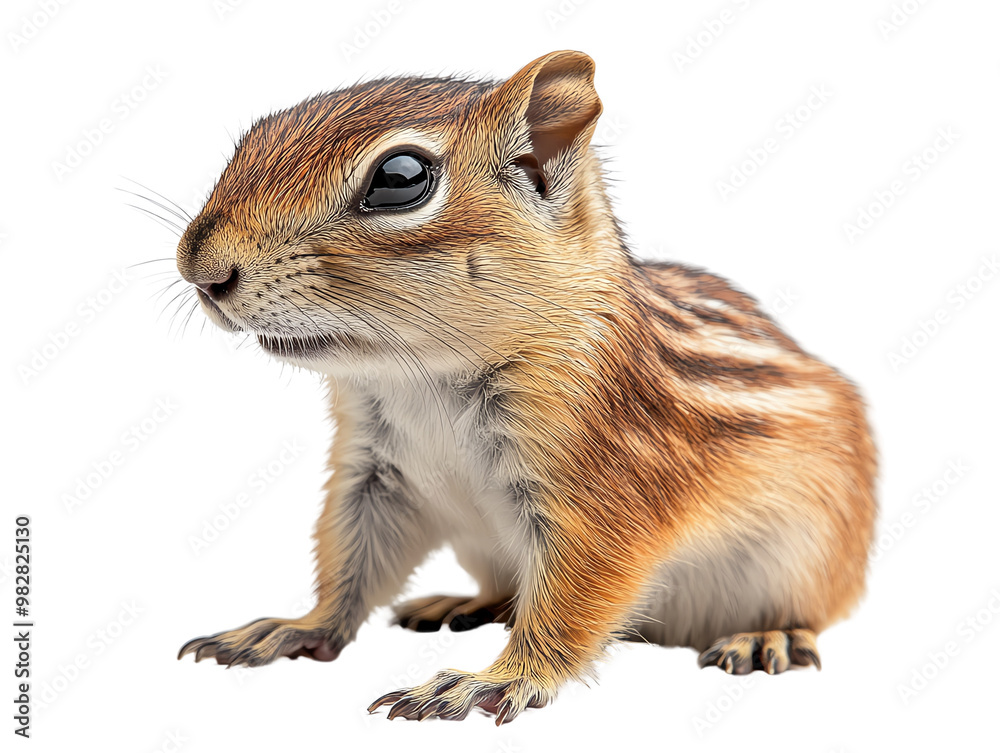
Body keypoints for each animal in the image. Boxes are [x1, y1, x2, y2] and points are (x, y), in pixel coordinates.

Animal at [174, 50, 877, 724]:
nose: (200, 271)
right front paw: (294, 626)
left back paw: (767, 636)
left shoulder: (602, 480)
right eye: (251, 138)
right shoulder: (370, 477)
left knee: (807, 614)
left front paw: (489, 681)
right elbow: (350, 560)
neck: (421, 374)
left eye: (399, 178)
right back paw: (459, 603)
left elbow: (574, 596)